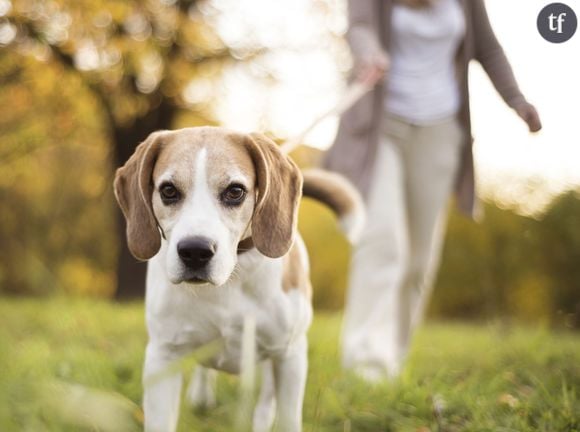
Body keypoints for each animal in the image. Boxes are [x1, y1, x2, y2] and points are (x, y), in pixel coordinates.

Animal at [114, 126, 362, 430]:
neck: (230, 280)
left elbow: (288, 418)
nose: (195, 251)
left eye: (235, 191)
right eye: (168, 190)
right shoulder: (163, 356)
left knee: (266, 400)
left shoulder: (290, 356)